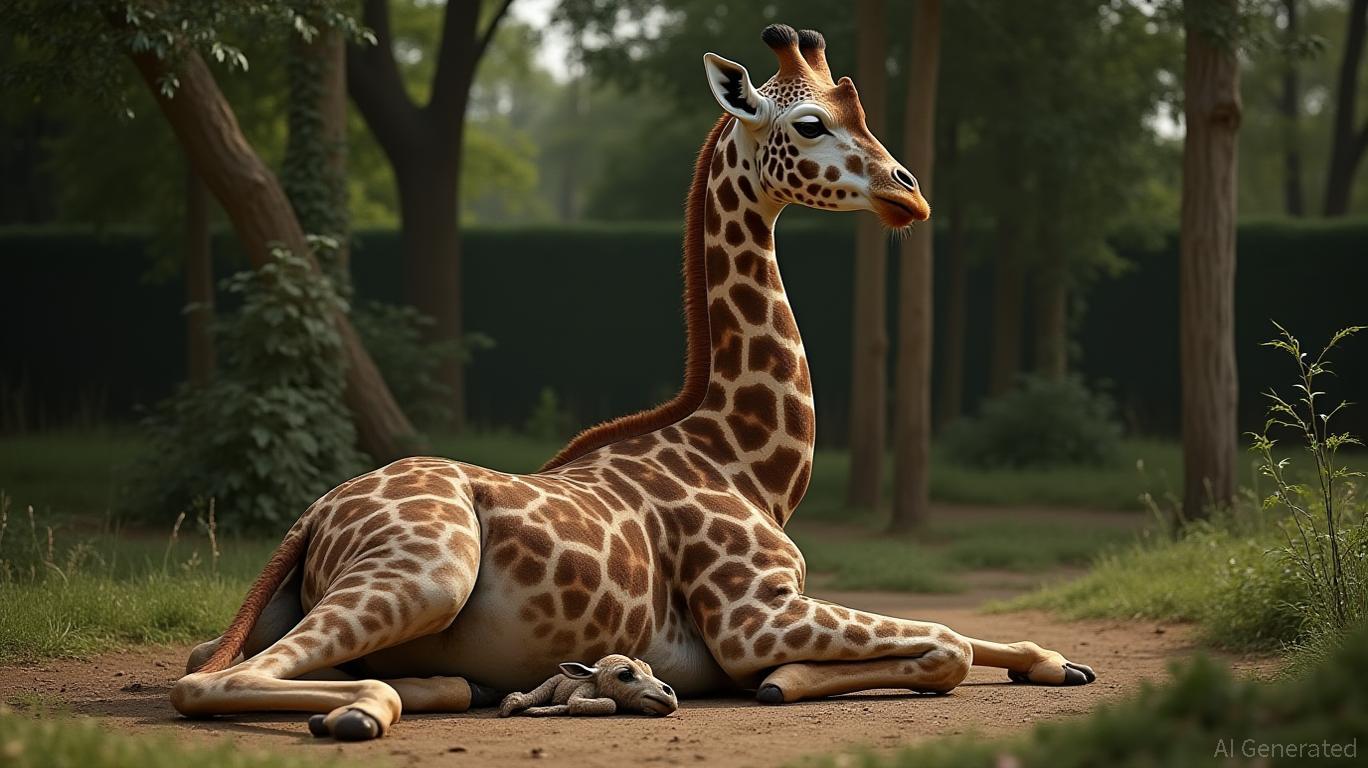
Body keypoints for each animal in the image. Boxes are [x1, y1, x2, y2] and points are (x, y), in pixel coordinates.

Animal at [171, 24, 1095, 742]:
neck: (748, 465)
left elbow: (969, 636)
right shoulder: (754, 616)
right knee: (207, 680)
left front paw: (1059, 662)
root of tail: (314, 517)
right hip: (428, 571)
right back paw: (363, 708)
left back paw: (462, 689)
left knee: (219, 657)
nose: (912, 195)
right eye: (811, 123)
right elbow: (943, 645)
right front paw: (780, 682)